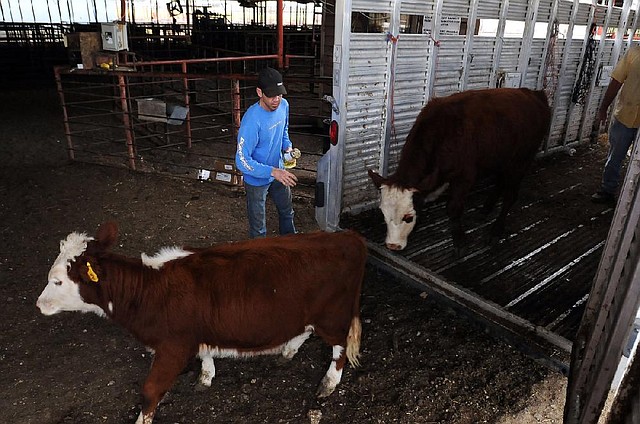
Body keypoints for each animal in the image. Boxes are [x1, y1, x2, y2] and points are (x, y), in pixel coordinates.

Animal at [36, 222, 364, 424]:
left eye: (57, 281)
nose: (39, 304)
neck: (149, 291)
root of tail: (347, 236)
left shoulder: (173, 346)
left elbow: (150, 390)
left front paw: (142, 418)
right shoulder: (195, 334)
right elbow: (205, 355)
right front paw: (206, 376)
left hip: (333, 315)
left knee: (339, 347)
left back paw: (328, 383)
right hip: (307, 314)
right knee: (305, 331)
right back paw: (287, 351)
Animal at [370, 88, 552, 256]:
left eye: (408, 217)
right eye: (383, 215)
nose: (393, 246)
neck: (444, 133)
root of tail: (534, 93)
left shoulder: (464, 177)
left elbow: (454, 208)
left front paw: (459, 241)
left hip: (522, 160)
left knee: (510, 195)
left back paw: (496, 230)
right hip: (502, 159)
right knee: (500, 182)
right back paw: (486, 209)